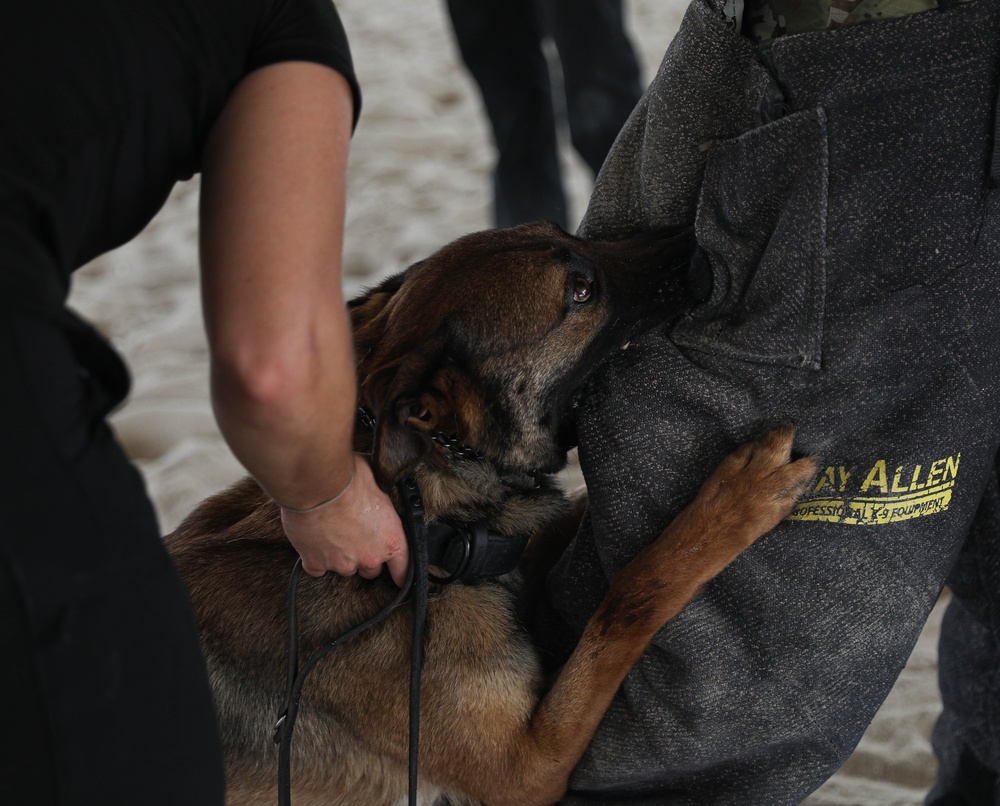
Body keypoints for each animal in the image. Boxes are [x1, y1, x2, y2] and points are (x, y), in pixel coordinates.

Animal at [166, 221, 820, 806]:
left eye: (567, 232)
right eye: (581, 292)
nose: (695, 242)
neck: (430, 529)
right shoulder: (528, 766)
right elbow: (631, 596)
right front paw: (730, 506)